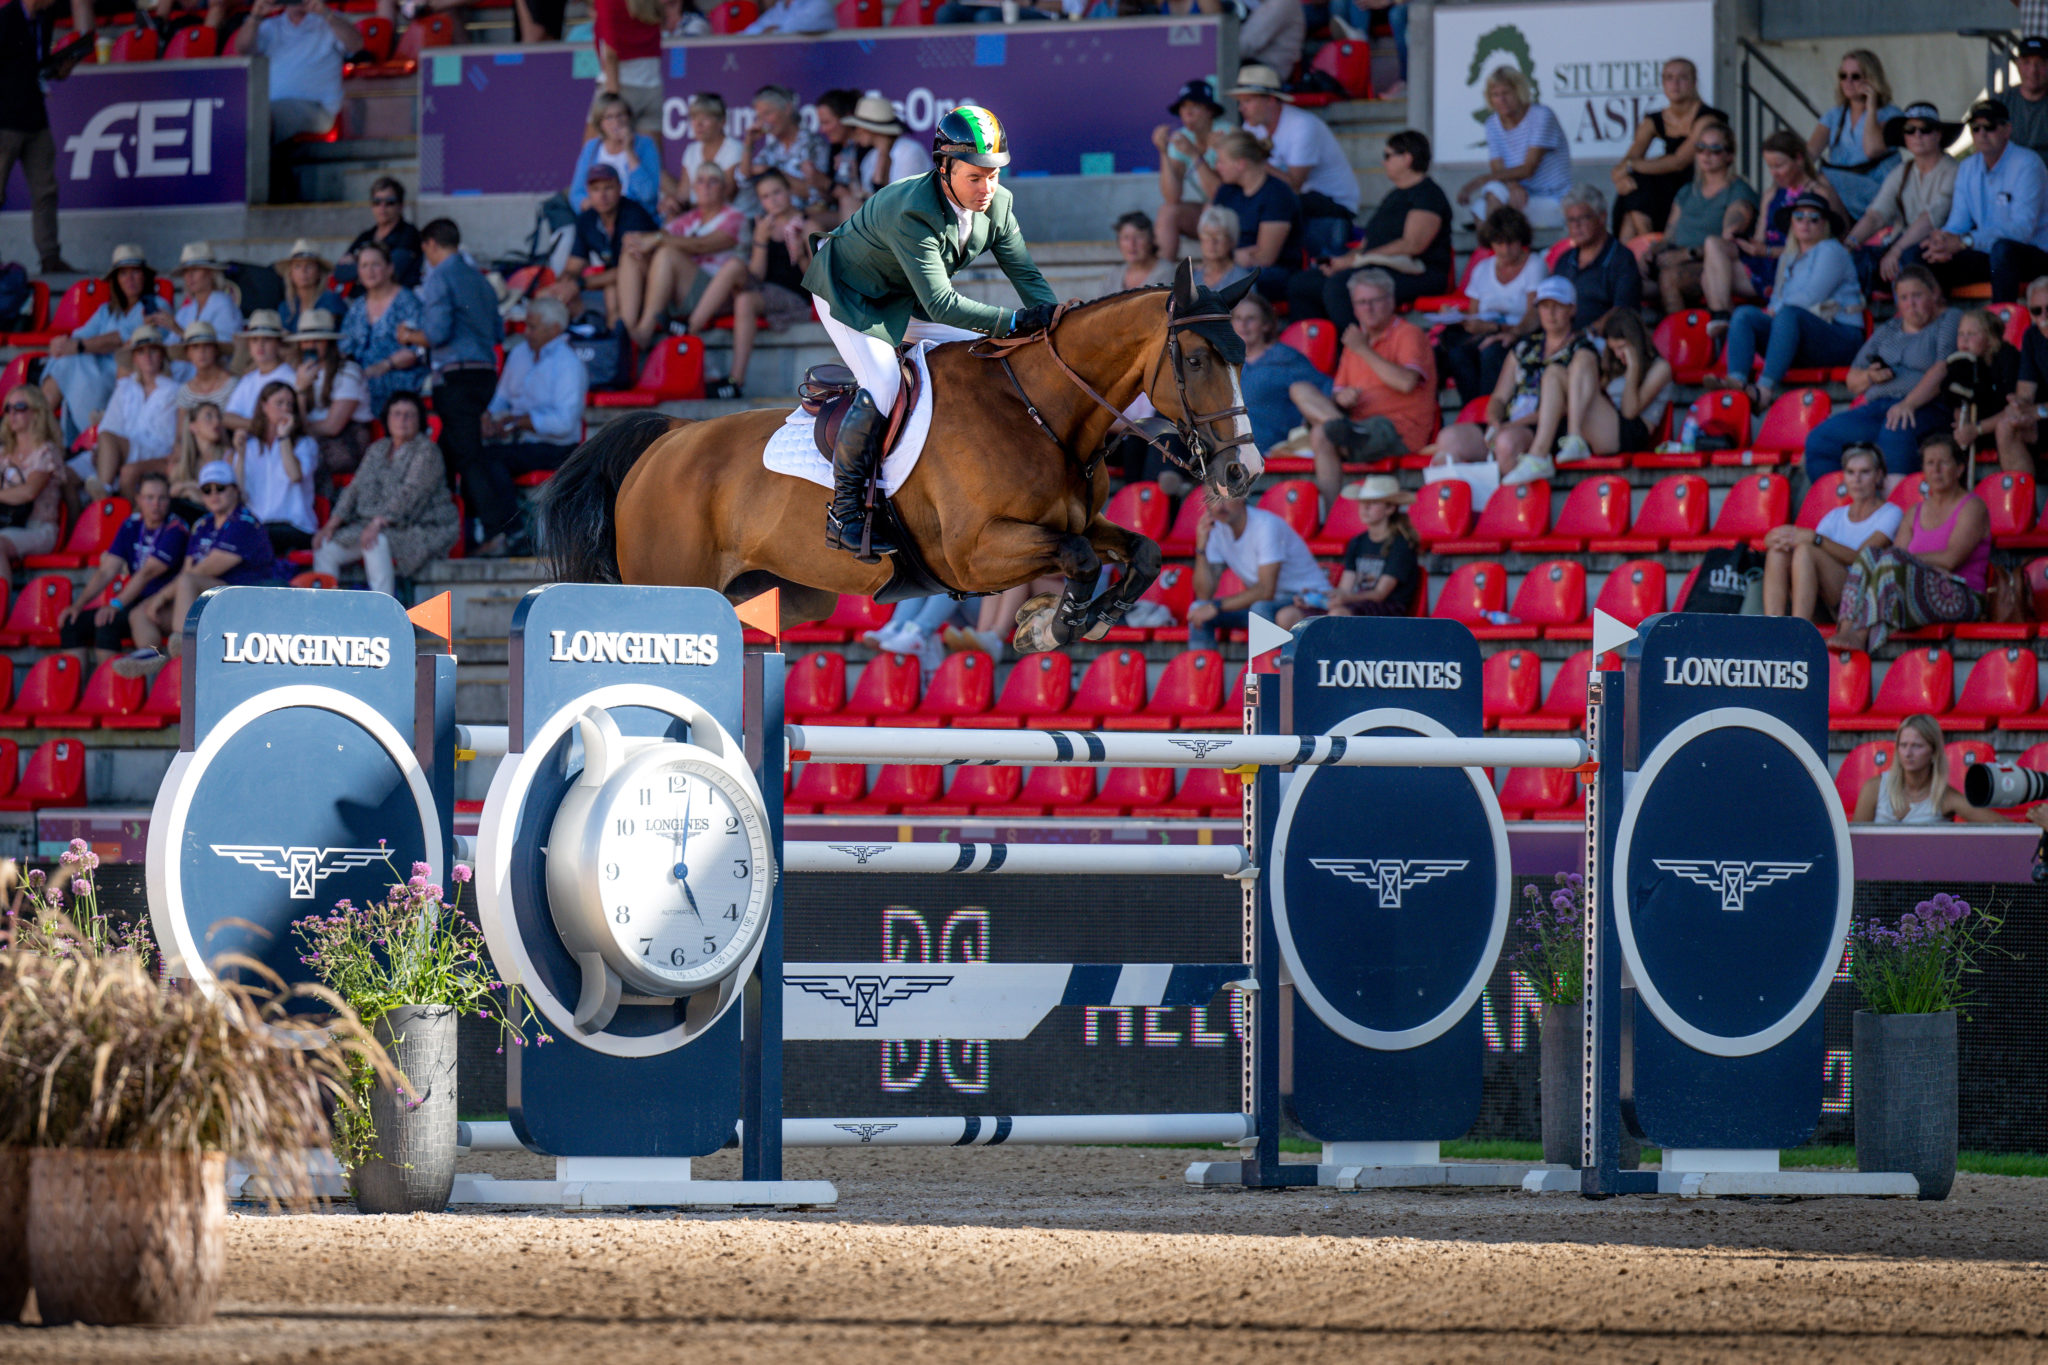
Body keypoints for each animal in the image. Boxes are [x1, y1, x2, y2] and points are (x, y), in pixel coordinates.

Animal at [536, 266, 1253, 654]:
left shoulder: (1076, 521)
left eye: (1242, 356)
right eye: (1195, 360)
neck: (1039, 412)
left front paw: (1076, 623)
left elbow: (1143, 554)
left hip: (785, 595)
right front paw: (1050, 626)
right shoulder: (975, 552)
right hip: (670, 581)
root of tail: (669, 439)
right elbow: (1077, 559)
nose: (1242, 472)